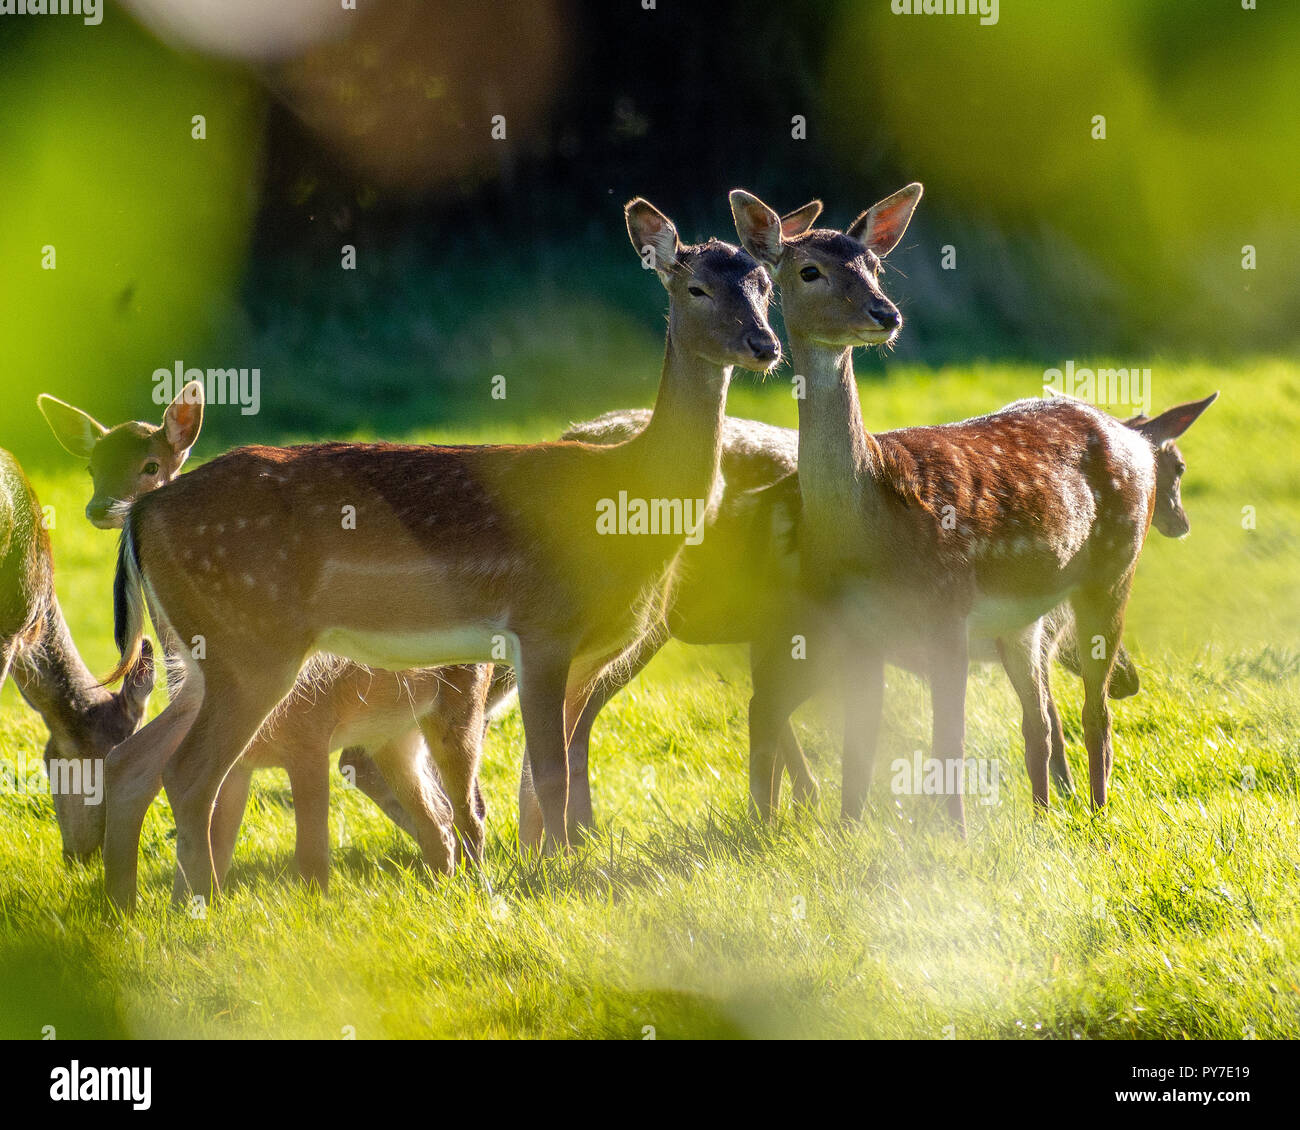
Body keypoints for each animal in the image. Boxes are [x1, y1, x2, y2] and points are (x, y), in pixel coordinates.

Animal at [36, 379, 501, 889]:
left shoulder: (310, 738)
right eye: (91, 467)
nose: (102, 507)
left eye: (150, 464)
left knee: (463, 811)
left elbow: (310, 854)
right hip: (383, 730)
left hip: (446, 707)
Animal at [104, 198, 780, 910]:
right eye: (695, 287)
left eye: (766, 284)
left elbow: (550, 772)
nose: (765, 345)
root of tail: (141, 514)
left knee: (134, 762)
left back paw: (126, 904)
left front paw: (558, 865)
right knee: (190, 772)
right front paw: (558, 877)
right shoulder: (542, 626)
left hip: (199, 650)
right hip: (251, 639)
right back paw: (197, 908)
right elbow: (550, 771)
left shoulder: (587, 651)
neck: (630, 502)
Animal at [733, 187, 1216, 827]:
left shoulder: (948, 607)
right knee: (1040, 720)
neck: (869, 524)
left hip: (1113, 568)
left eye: (874, 266)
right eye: (809, 270)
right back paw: (1045, 817)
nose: (886, 314)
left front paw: (955, 837)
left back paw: (1096, 813)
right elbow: (859, 746)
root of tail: (1132, 436)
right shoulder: (857, 629)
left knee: (1095, 708)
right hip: (1023, 618)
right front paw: (848, 831)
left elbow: (949, 741)